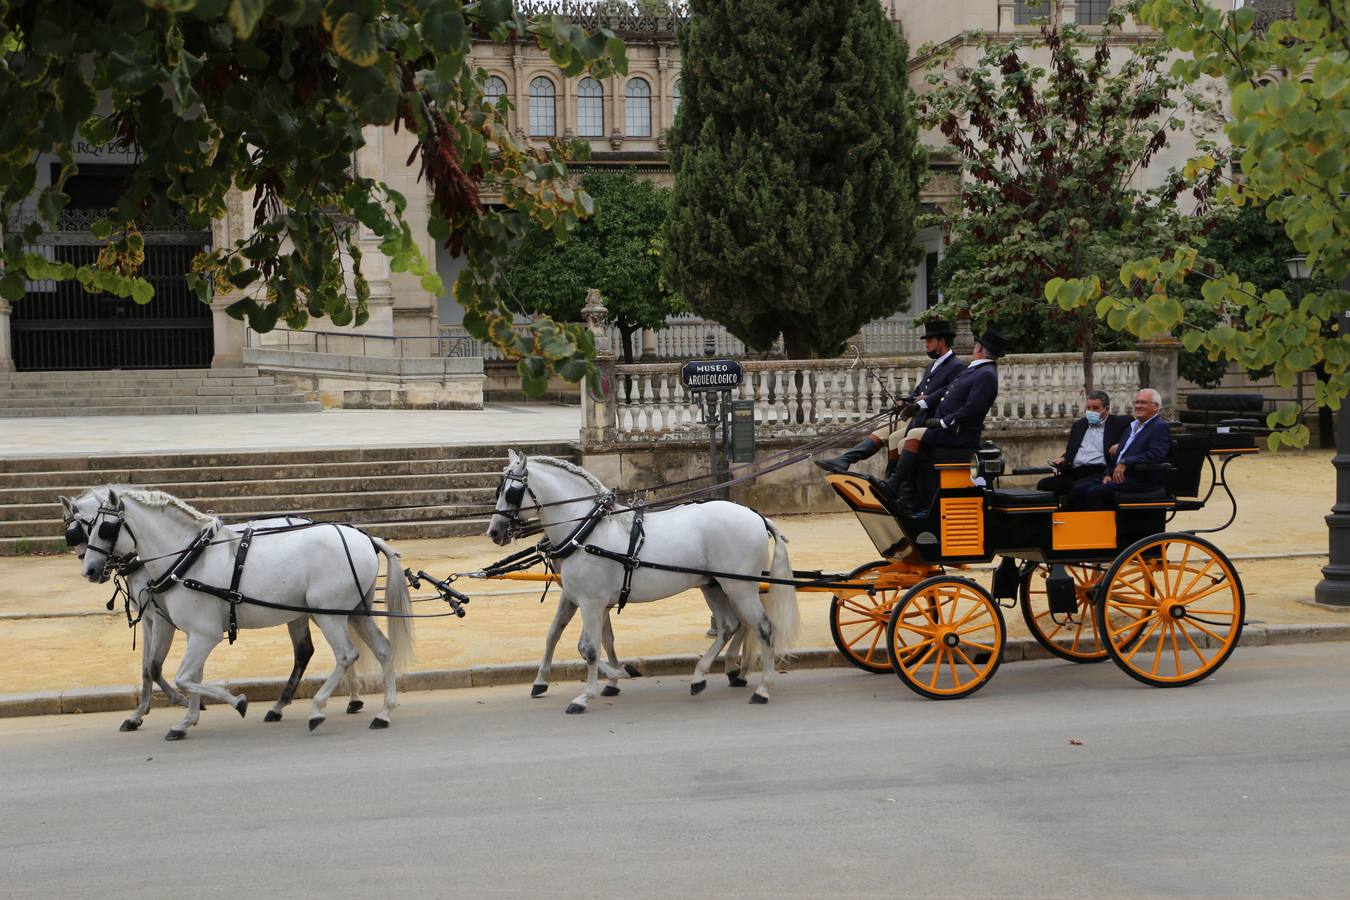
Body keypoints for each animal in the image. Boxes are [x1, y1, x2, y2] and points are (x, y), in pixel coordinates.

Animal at [67, 488, 410, 744]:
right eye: (84, 528)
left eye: (103, 528)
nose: (90, 570)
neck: (189, 558)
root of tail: (365, 537)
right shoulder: (193, 634)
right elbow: (187, 677)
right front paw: (186, 720)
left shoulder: (200, 634)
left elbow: (183, 677)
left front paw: (235, 701)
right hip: (354, 612)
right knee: (382, 649)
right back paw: (384, 712)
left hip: (329, 614)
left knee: (345, 655)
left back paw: (317, 709)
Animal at [488, 453, 793, 712]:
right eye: (498, 490)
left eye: (511, 492)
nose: (494, 532)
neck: (586, 530)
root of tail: (755, 515)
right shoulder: (580, 598)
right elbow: (565, 635)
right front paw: (600, 679)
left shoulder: (591, 602)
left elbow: (588, 648)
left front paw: (589, 694)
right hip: (714, 586)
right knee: (730, 625)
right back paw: (699, 677)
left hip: (740, 588)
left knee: (764, 628)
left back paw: (763, 689)